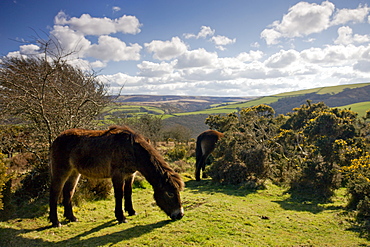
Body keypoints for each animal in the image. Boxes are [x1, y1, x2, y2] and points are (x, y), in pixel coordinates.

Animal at [48, 125, 184, 228]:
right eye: (170, 194)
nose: (180, 215)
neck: (132, 149)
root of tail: (58, 138)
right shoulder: (118, 175)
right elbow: (119, 195)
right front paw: (121, 217)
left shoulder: (130, 175)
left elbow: (128, 192)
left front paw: (131, 211)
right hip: (61, 170)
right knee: (55, 192)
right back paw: (56, 222)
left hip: (74, 172)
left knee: (68, 192)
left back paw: (71, 217)